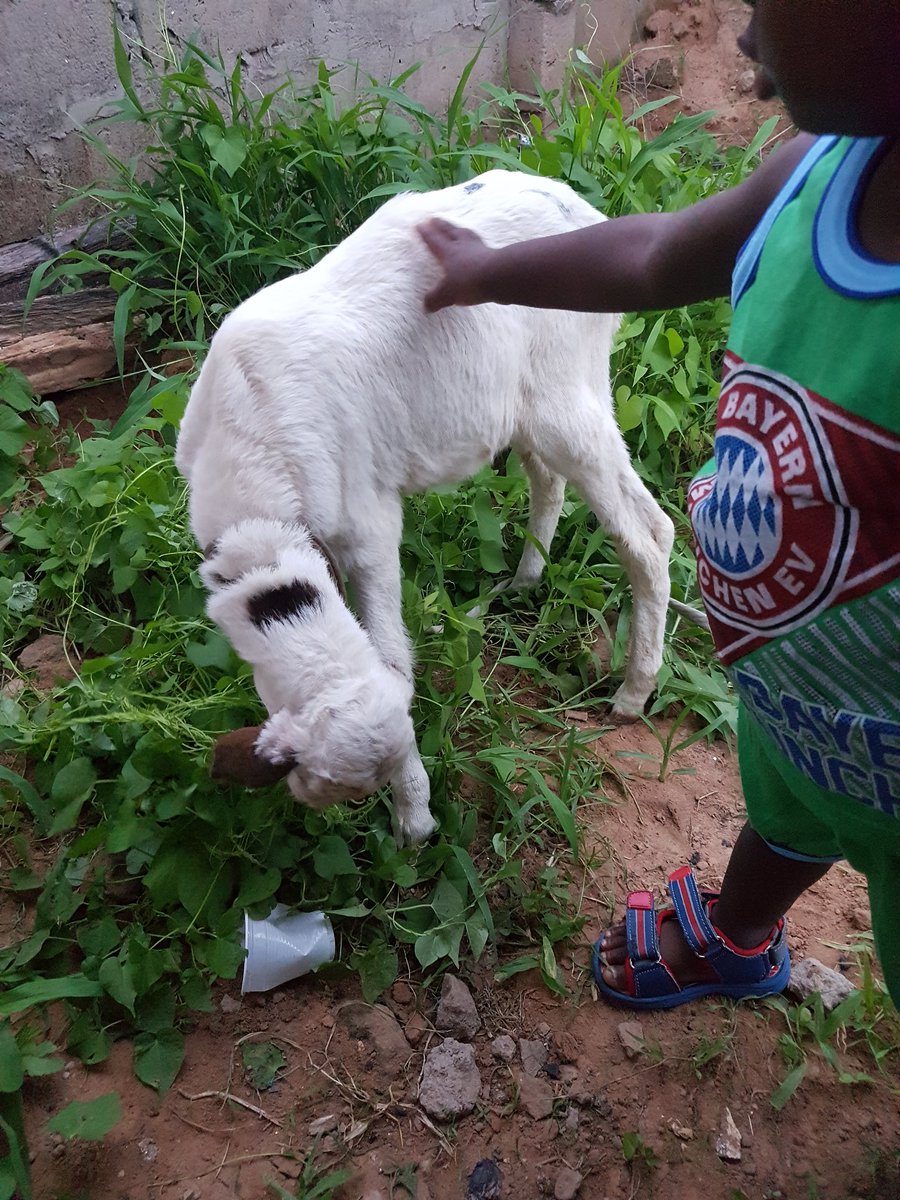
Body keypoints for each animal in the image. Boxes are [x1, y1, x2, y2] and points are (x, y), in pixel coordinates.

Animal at [175, 168, 676, 847]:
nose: (417, 838)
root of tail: (575, 207)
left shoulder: (368, 524)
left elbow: (392, 658)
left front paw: (413, 822)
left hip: (564, 396)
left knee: (647, 533)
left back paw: (633, 691)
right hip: (532, 397)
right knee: (557, 484)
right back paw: (522, 585)